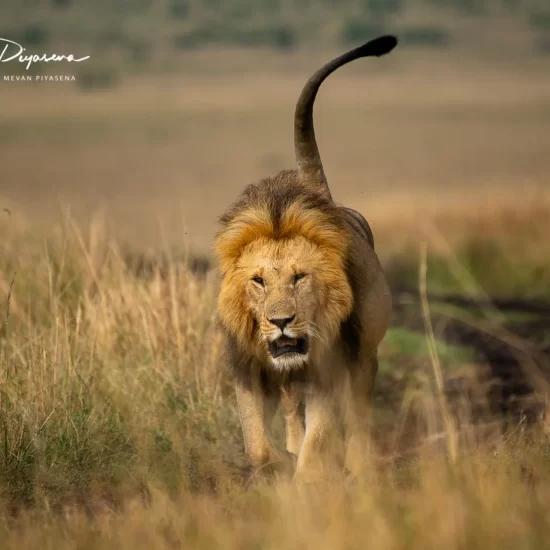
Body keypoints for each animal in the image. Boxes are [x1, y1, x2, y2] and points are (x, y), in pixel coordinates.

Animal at [213, 35, 398, 484]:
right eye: (258, 281)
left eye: (300, 278)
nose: (281, 321)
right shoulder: (247, 368)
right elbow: (257, 444)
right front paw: (279, 463)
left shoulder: (328, 366)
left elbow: (322, 437)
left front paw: (310, 479)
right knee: (291, 405)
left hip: (365, 351)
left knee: (359, 410)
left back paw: (358, 464)